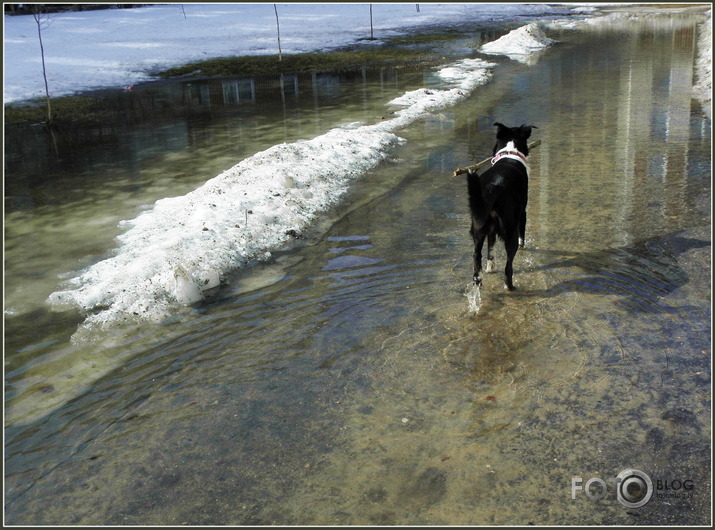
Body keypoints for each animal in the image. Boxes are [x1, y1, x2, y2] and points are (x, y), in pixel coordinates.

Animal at [468, 122, 536, 290]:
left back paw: (478, 279)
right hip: (510, 229)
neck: (509, 152)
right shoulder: (522, 214)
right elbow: (522, 236)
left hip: (478, 226)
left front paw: (490, 268)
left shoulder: (490, 229)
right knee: (508, 266)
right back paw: (510, 287)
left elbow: (490, 249)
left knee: (477, 256)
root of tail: (493, 188)